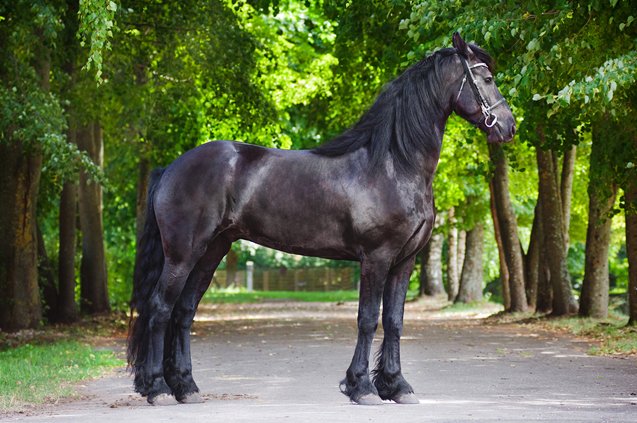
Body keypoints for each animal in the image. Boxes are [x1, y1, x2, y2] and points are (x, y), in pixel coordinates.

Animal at [126, 31, 516, 406]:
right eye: (488, 78)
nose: (508, 126)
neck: (393, 164)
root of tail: (172, 168)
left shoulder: (405, 260)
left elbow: (394, 321)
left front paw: (397, 386)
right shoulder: (376, 258)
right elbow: (367, 319)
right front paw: (362, 388)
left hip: (212, 250)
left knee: (183, 312)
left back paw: (186, 387)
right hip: (183, 254)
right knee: (160, 308)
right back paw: (158, 388)